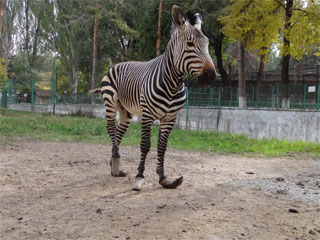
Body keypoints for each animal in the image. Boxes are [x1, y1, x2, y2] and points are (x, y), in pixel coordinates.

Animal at [90, 4, 215, 190]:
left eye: (206, 44)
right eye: (190, 43)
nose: (211, 76)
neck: (172, 84)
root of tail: (118, 64)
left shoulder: (170, 118)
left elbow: (162, 147)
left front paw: (164, 178)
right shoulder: (147, 115)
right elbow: (145, 145)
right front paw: (139, 177)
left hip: (126, 111)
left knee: (119, 132)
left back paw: (115, 167)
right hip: (110, 103)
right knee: (111, 128)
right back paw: (116, 159)